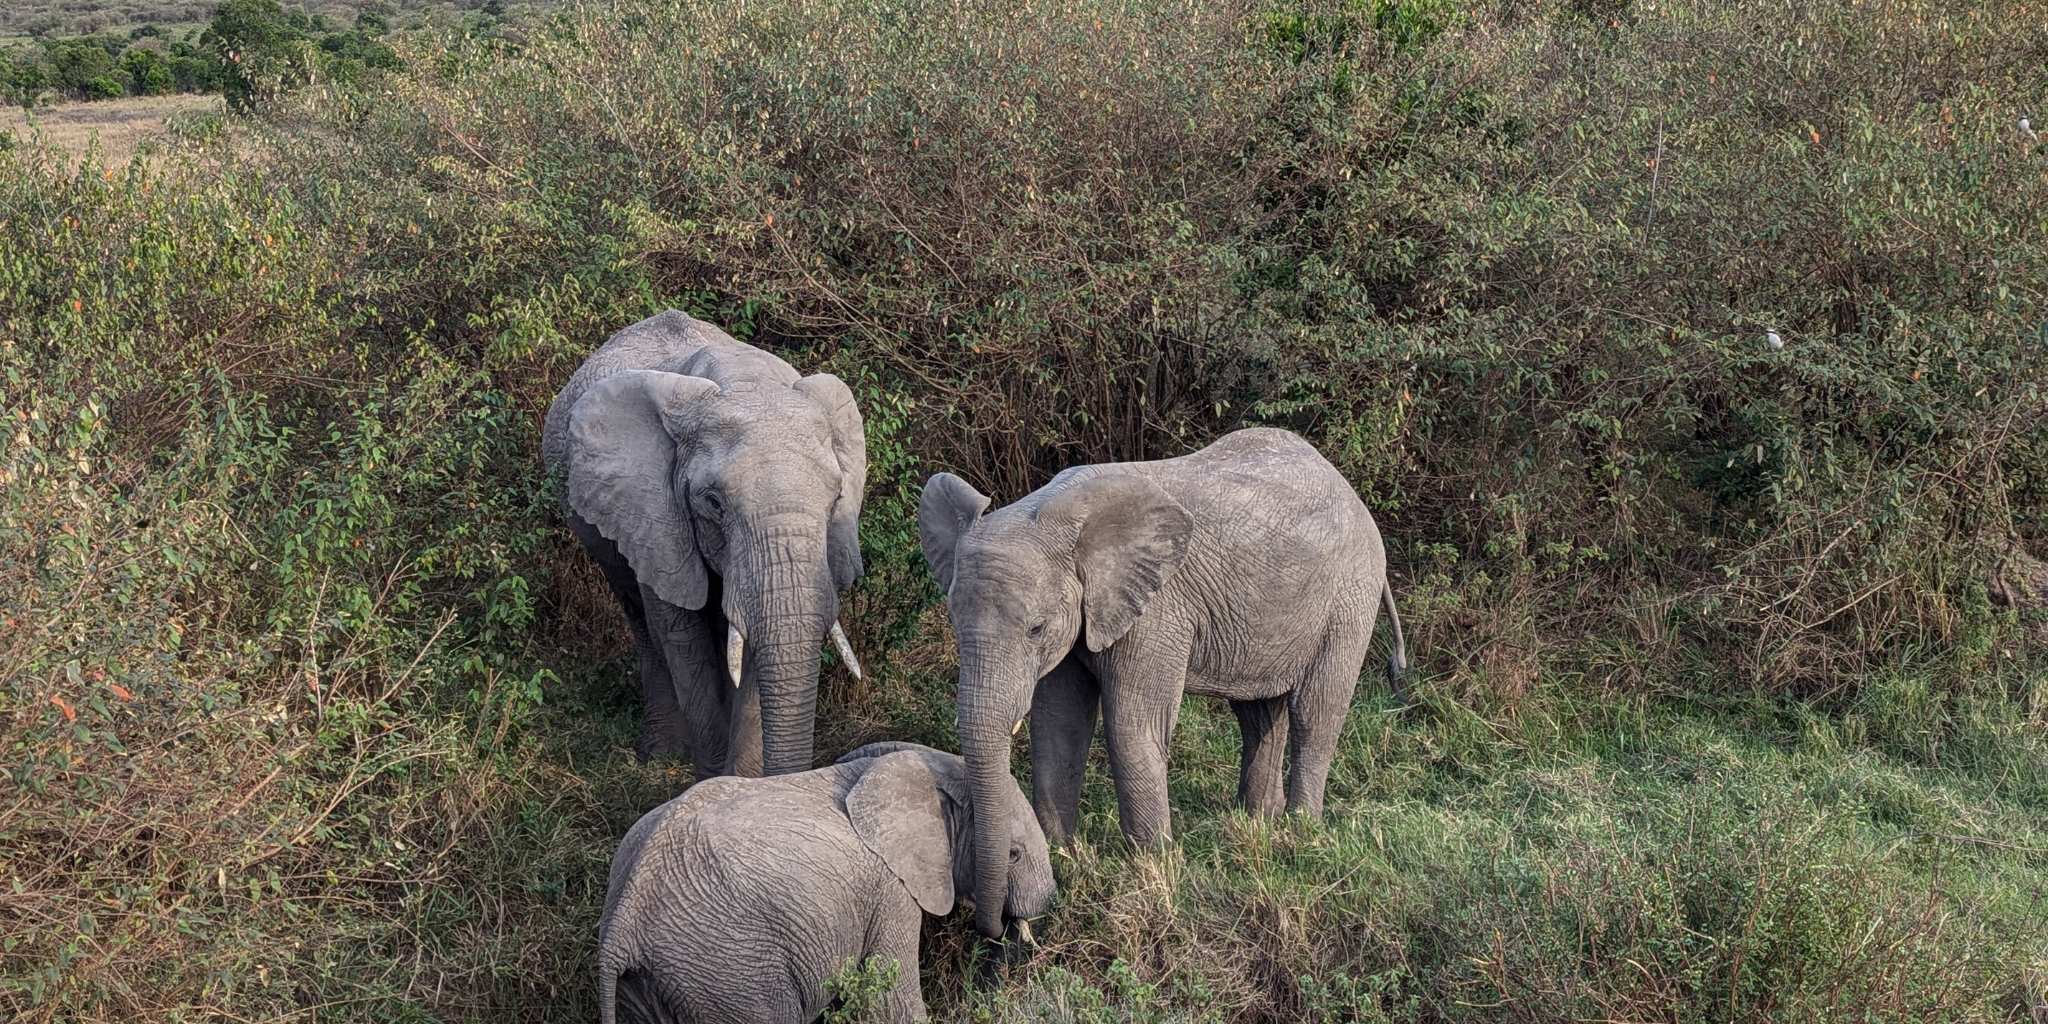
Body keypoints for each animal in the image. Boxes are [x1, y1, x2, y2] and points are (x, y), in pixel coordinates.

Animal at [543, 310, 867, 777]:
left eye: (837, 497)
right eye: (713, 502)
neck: (745, 381)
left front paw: (743, 783)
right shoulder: (655, 519)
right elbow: (683, 637)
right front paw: (711, 781)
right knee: (639, 615)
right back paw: (660, 753)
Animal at [595, 741, 1056, 1024]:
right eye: (1014, 854)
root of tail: (622, 923)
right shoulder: (890, 892)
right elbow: (891, 1000)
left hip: (661, 978)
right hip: (727, 966)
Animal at [917, 427, 1408, 937]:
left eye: (1036, 628)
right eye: (954, 622)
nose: (998, 924)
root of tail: (1350, 492)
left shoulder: (1156, 610)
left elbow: (1132, 725)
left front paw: (1151, 869)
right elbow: (1059, 725)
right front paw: (1064, 857)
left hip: (1349, 595)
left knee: (1315, 712)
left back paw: (1298, 833)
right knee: (1257, 713)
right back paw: (1256, 824)